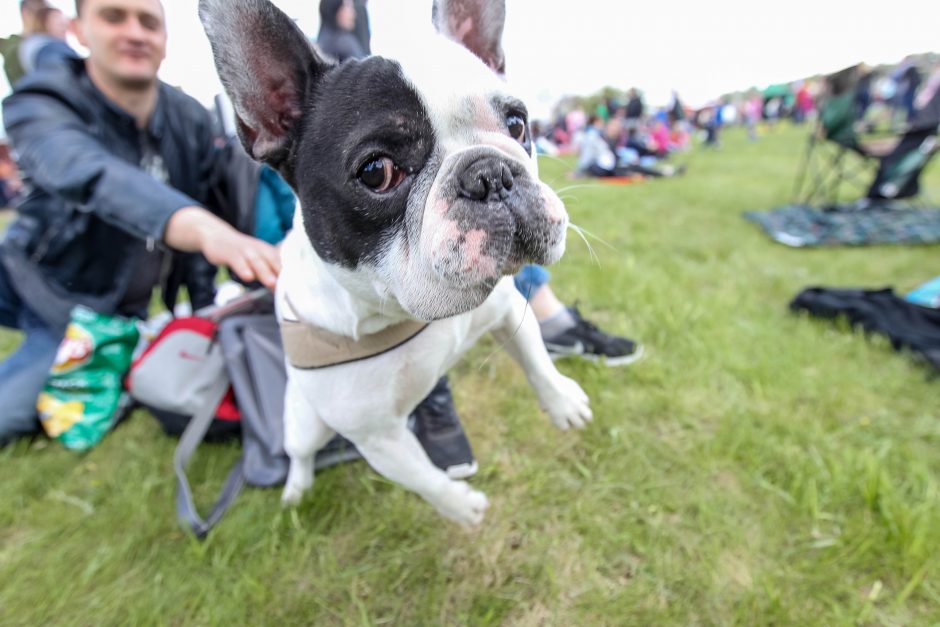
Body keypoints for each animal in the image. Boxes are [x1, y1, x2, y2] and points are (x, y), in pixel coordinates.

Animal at [201, 0, 592, 528]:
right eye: (377, 172)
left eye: (517, 125)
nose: (491, 174)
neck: (407, 314)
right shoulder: (378, 438)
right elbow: (426, 479)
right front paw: (463, 507)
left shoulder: (507, 309)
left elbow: (535, 358)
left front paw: (562, 401)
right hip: (305, 422)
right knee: (301, 453)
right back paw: (296, 491)